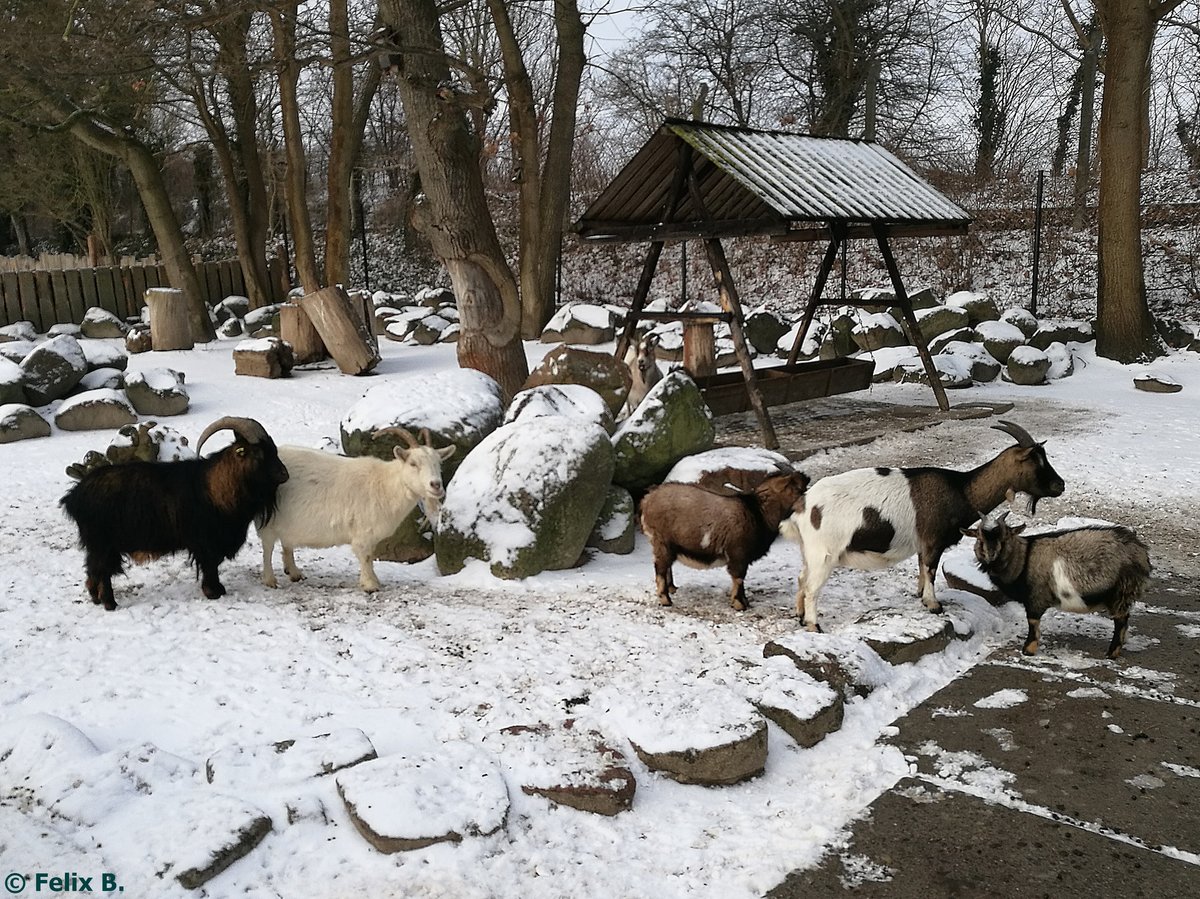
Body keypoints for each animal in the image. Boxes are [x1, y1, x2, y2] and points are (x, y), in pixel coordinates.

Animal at [258, 427, 453, 588]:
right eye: (413, 463)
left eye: (439, 463)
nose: (436, 485)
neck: (385, 485)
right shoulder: (363, 532)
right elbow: (365, 557)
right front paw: (370, 585)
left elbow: (370, 557)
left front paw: (374, 581)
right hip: (269, 520)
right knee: (268, 547)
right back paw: (270, 580)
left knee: (286, 542)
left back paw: (294, 573)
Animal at [643, 470, 811, 609]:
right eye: (797, 487)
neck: (758, 513)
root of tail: (647, 500)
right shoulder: (738, 553)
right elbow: (738, 577)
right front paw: (739, 604)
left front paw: (744, 601)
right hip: (662, 541)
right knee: (660, 568)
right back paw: (665, 599)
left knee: (666, 566)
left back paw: (672, 588)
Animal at [964, 511, 1152, 657]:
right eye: (979, 539)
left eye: (1004, 537)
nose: (991, 555)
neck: (1023, 560)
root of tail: (1141, 552)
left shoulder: (1036, 596)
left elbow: (1032, 622)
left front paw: (1028, 650)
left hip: (1121, 590)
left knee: (1121, 621)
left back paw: (1111, 653)